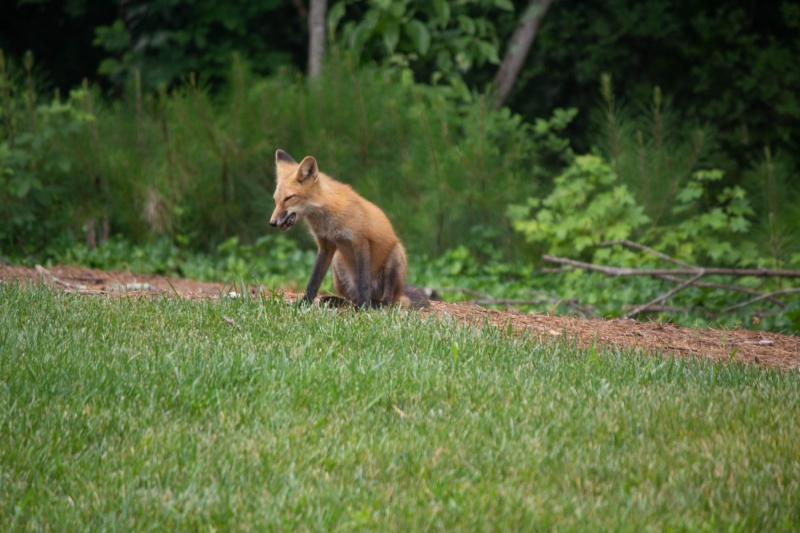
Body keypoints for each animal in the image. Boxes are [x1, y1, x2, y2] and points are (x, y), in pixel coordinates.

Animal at [269, 149, 429, 309]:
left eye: (289, 198)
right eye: (276, 200)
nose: (272, 222)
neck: (327, 218)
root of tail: (400, 294)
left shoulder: (360, 242)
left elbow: (363, 282)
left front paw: (363, 307)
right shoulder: (325, 245)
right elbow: (313, 281)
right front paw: (304, 303)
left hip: (395, 256)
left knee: (387, 301)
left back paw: (373, 303)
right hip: (337, 261)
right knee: (350, 298)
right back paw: (338, 301)